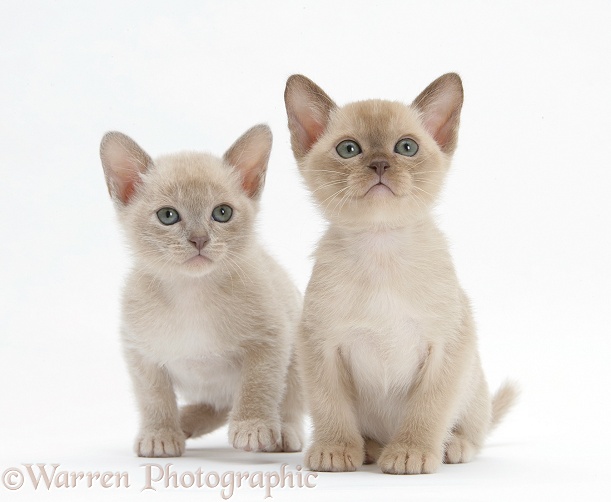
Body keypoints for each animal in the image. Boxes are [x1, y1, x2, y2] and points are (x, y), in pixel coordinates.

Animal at [100, 124, 306, 454]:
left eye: (222, 213)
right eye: (167, 216)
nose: (199, 239)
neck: (192, 293)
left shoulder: (271, 339)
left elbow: (258, 385)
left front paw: (253, 426)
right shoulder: (140, 352)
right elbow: (154, 397)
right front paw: (159, 433)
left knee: (285, 403)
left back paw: (283, 431)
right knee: (218, 405)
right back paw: (184, 421)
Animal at [284, 72, 520, 472]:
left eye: (406, 148)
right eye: (349, 149)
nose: (380, 164)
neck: (381, 248)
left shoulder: (447, 346)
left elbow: (428, 409)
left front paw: (411, 452)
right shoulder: (320, 346)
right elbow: (331, 406)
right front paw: (335, 449)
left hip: (473, 385)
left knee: (474, 429)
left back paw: (451, 446)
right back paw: (369, 448)